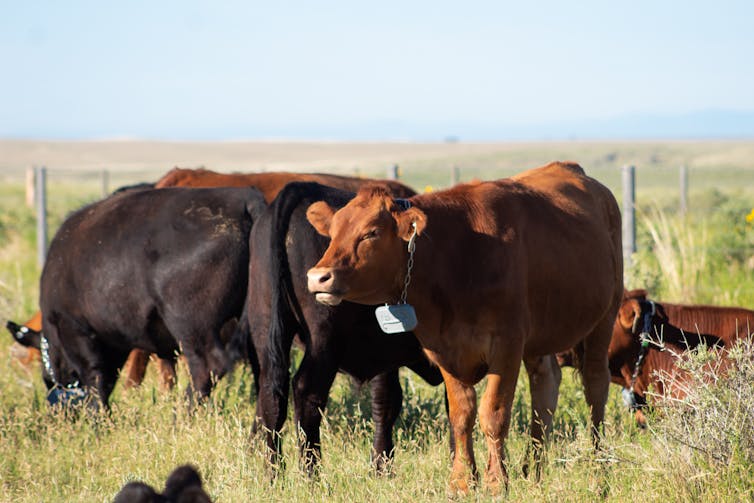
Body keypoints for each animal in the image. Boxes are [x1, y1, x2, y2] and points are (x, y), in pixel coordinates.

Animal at [38, 186, 266, 406]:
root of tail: (241, 201)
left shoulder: (74, 327)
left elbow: (95, 378)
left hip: (190, 325)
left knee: (208, 365)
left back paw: (182, 410)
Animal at [246, 181, 443, 474]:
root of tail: (299, 189)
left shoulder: (385, 354)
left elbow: (385, 402)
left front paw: (381, 466)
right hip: (324, 339)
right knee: (307, 393)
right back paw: (311, 473)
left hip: (265, 323)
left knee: (270, 394)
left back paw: (272, 473)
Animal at [305, 161, 623, 494]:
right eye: (332, 233)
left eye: (371, 233)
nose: (318, 277)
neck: (456, 257)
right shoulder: (443, 347)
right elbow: (461, 414)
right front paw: (462, 480)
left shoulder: (507, 345)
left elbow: (493, 414)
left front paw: (497, 482)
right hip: (541, 335)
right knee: (545, 386)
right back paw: (533, 473)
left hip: (605, 317)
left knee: (595, 388)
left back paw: (599, 471)